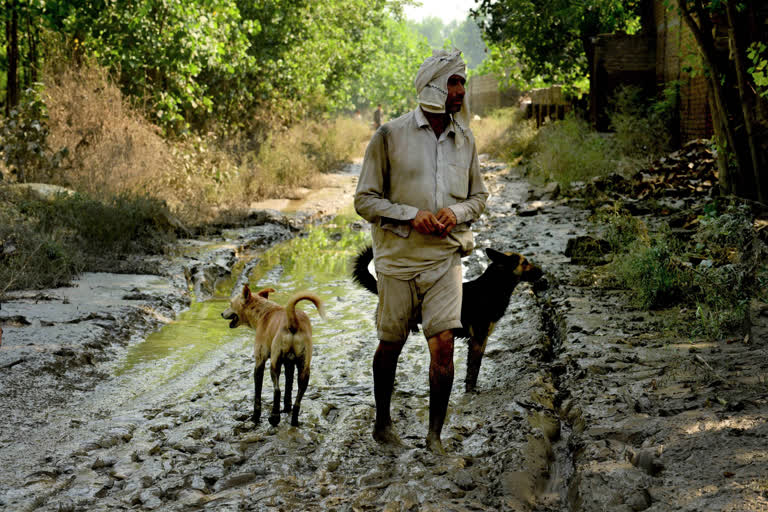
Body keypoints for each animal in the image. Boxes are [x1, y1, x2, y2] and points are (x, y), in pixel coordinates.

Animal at [219, 286, 324, 426]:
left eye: (231, 304)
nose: (221, 313)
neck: (264, 312)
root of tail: (293, 320)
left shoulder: (260, 362)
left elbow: (258, 392)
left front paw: (255, 417)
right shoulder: (289, 364)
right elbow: (288, 386)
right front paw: (286, 408)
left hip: (275, 364)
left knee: (277, 390)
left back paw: (274, 417)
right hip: (304, 368)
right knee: (298, 396)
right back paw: (294, 420)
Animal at [352, 246, 544, 390]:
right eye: (525, 262)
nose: (542, 271)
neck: (494, 286)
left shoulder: (477, 340)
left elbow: (472, 369)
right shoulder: (479, 339)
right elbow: (473, 370)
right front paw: (472, 391)